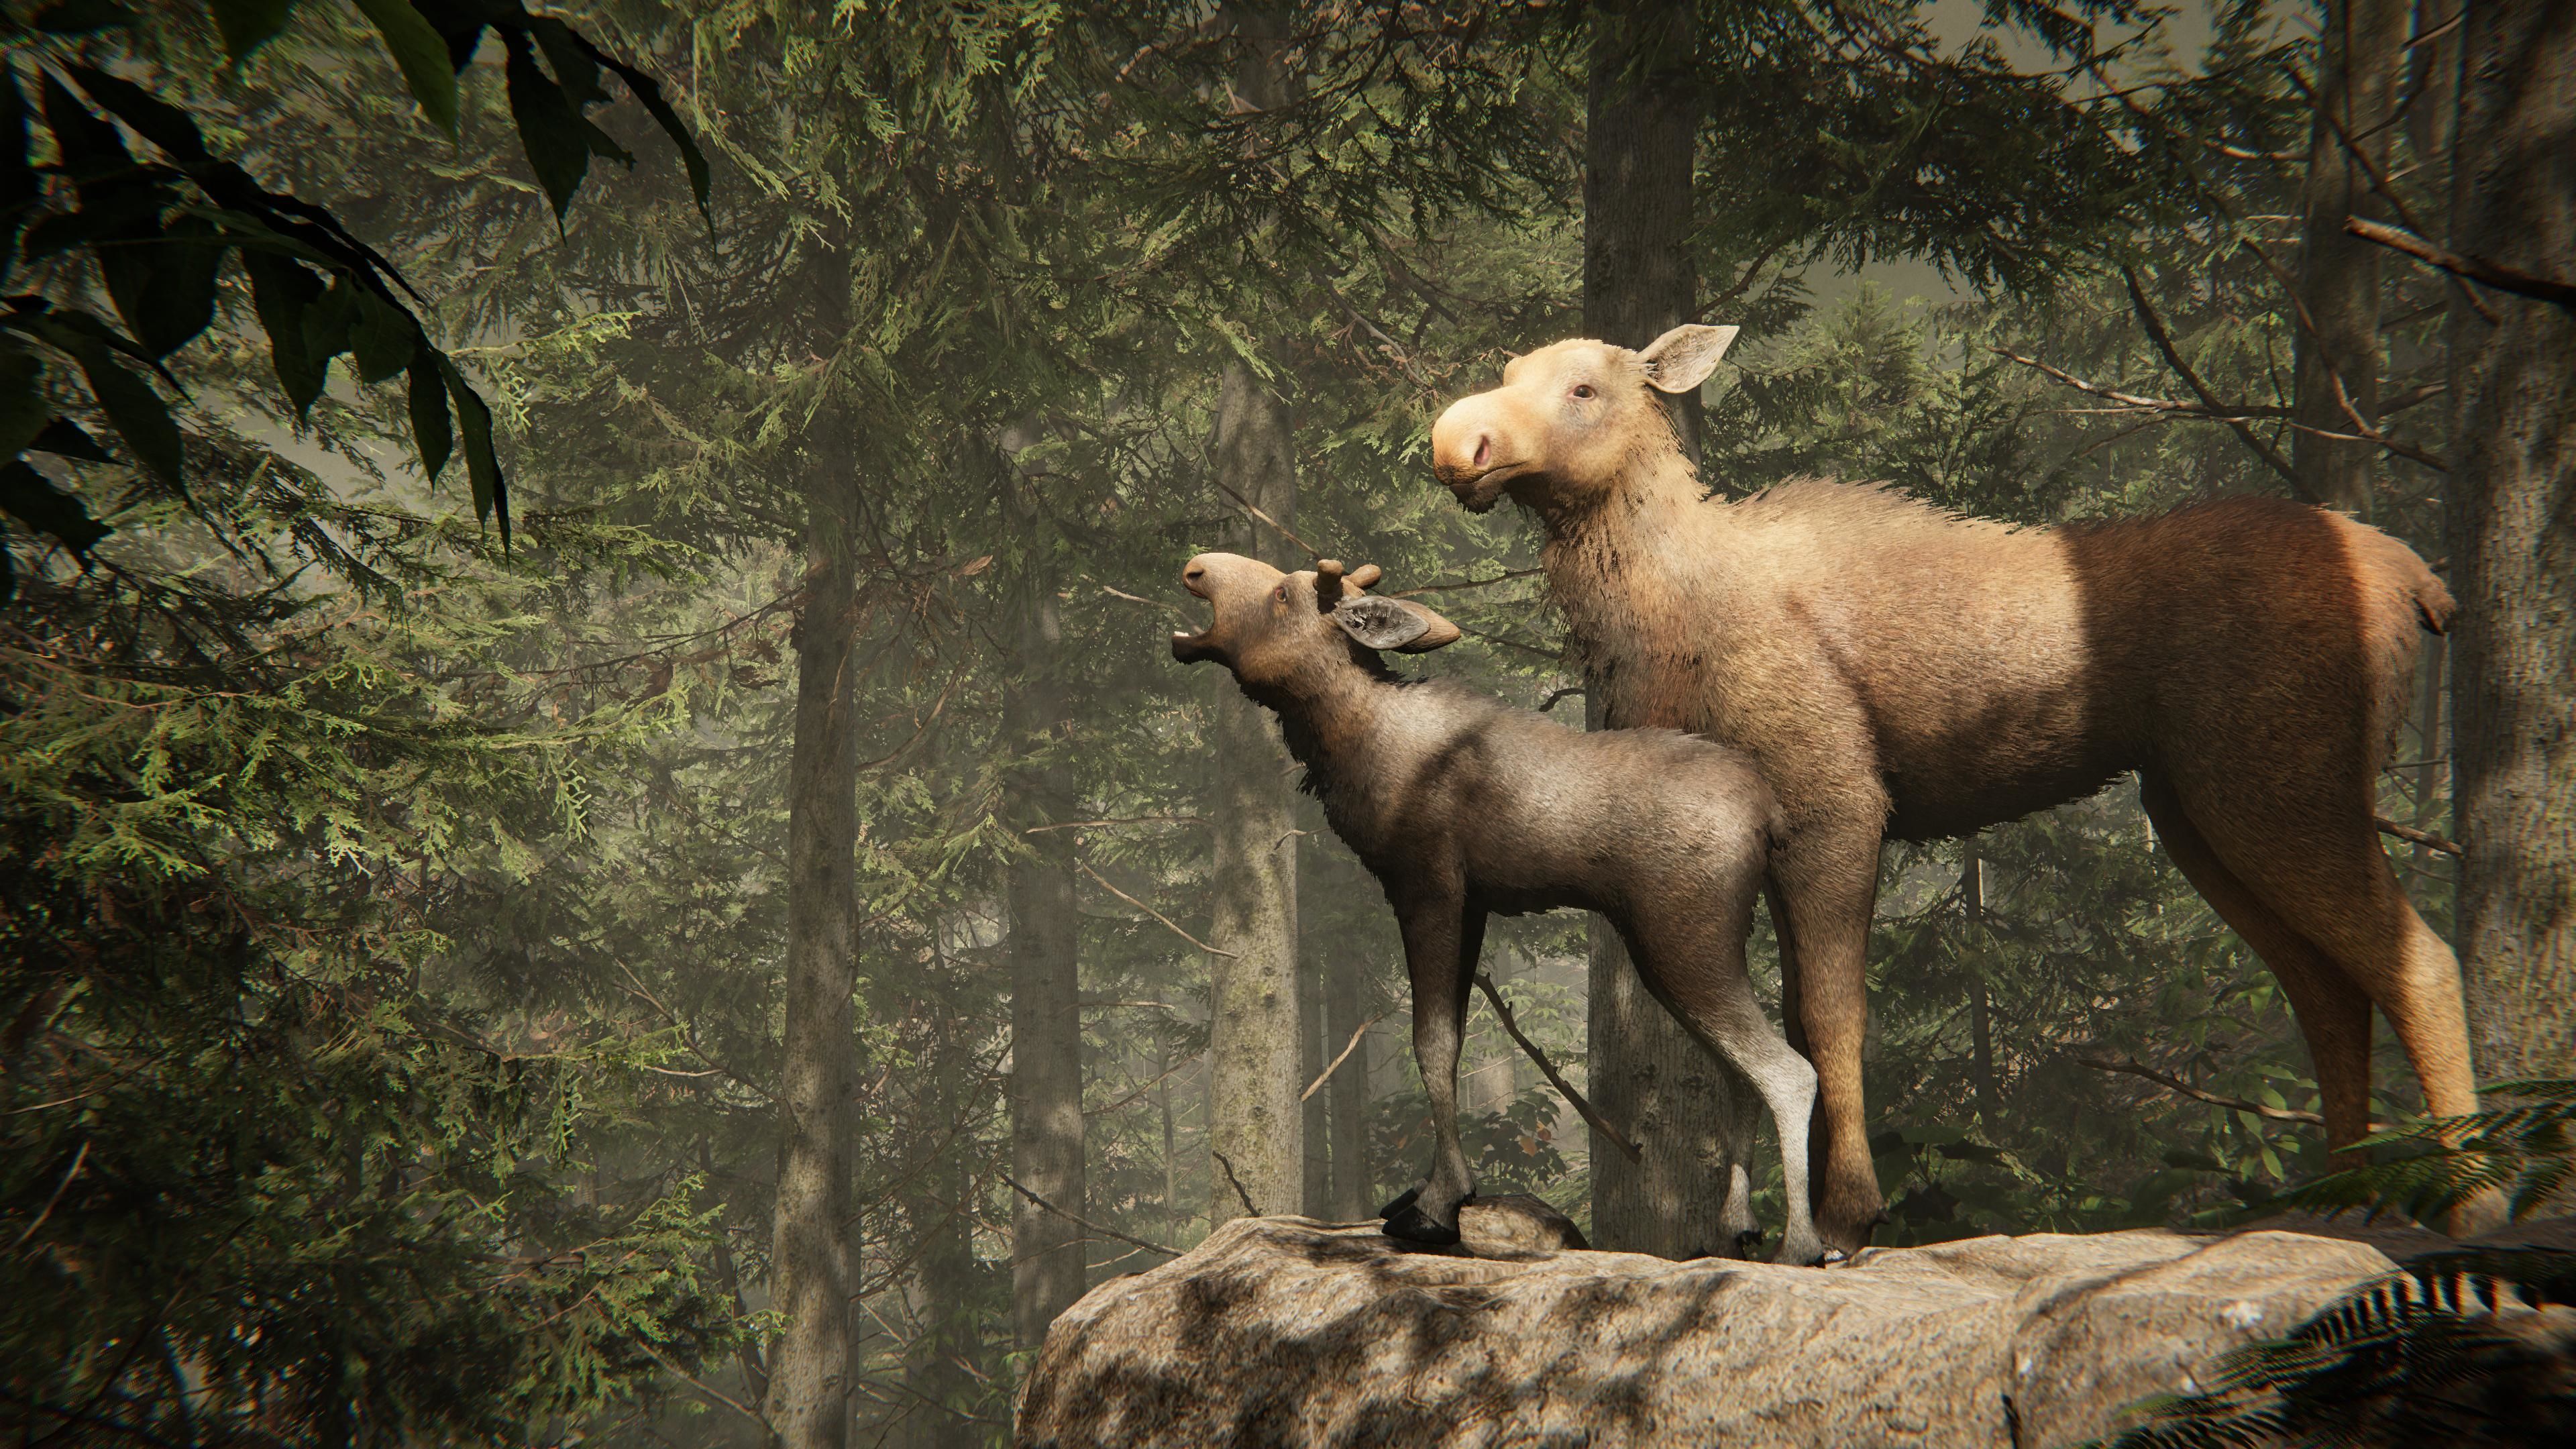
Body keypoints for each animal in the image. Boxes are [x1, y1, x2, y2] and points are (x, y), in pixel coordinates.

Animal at [1170, 550, 1832, 1264]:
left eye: (1285, 596)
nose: (1198, 567)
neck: (1352, 742)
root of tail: (1770, 817)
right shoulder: (1473, 906)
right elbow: (1452, 1039)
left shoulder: (1428, 887)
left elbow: (1431, 1043)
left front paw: (1438, 1206)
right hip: (1677, 951)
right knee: (1740, 1074)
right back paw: (1735, 1227)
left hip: (1684, 937)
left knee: (1788, 1070)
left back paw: (1803, 1243)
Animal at [1428, 324, 2485, 1254]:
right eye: (1510, 371)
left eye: (1584, 387)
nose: (1455, 441)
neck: (1665, 623)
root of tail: (2421, 583)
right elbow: (1769, 1030)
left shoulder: (1837, 803)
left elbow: (1830, 1017)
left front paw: (1848, 1216)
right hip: (2197, 807)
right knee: (2324, 985)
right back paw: (2337, 1202)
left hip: (2280, 776)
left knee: (2420, 959)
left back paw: (2468, 1204)